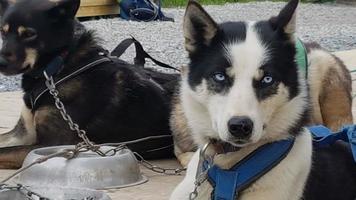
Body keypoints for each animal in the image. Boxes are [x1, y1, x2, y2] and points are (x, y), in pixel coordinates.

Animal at [0, 0, 178, 169]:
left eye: (29, 34)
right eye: (3, 31)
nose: (1, 62)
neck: (59, 67)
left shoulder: (53, 144)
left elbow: (4, 152)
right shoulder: (23, 133)